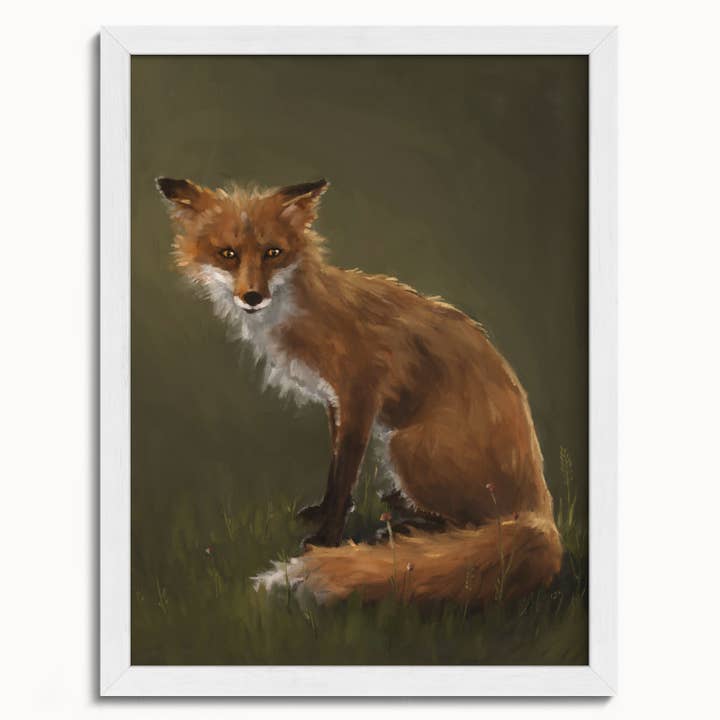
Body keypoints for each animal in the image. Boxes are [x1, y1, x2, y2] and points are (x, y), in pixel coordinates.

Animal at [156, 175, 562, 606]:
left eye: (273, 253)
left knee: (478, 525)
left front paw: (325, 539)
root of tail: (541, 509)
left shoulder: (360, 396)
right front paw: (322, 513)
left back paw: (408, 528)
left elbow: (343, 477)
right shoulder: (335, 401)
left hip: (404, 446)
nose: (252, 297)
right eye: (228, 254)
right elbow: (335, 470)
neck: (303, 311)